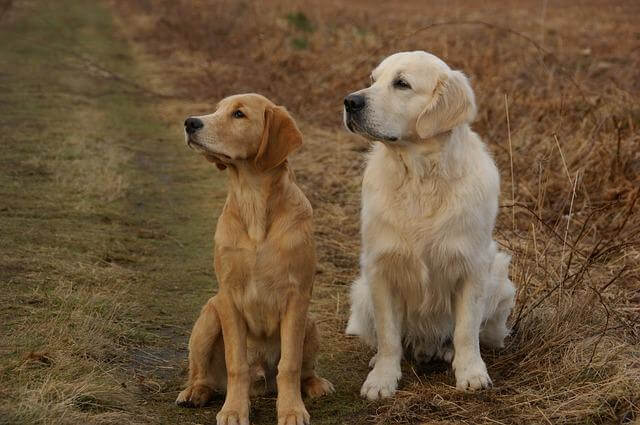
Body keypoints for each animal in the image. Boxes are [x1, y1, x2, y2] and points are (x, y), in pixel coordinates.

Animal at [176, 93, 336, 424]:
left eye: (239, 114)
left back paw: (315, 384)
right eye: (217, 109)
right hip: (208, 317)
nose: (190, 122)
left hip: (310, 322)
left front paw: (291, 410)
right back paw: (195, 392)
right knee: (204, 375)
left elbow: (289, 364)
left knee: (303, 370)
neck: (253, 201)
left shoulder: (296, 297)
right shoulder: (228, 296)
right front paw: (234, 410)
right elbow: (236, 364)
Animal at [344, 51, 516, 400]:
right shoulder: (381, 268)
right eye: (373, 80)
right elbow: (389, 336)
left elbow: (466, 330)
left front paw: (471, 372)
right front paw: (382, 378)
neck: (420, 178)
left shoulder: (472, 267)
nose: (349, 101)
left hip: (500, 281)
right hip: (361, 292)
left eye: (401, 83)